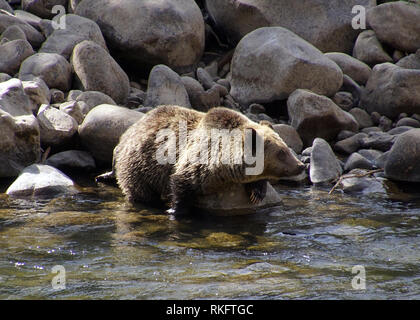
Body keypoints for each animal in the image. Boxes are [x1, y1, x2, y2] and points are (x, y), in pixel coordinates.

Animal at [113, 105, 304, 215]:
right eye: (281, 152)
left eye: (287, 147)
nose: (301, 165)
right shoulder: (196, 161)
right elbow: (180, 183)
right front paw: (175, 210)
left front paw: (257, 192)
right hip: (137, 164)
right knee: (139, 190)